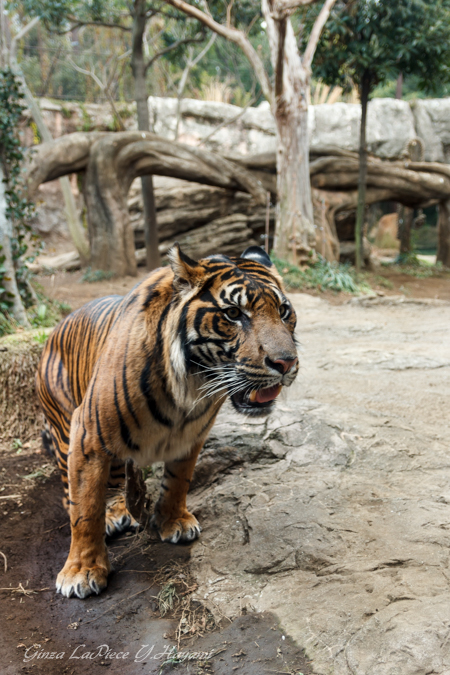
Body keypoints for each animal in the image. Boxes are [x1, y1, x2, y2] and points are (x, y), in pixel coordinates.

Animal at [36, 246, 298, 600]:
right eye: (232, 313)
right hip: (65, 429)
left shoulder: (192, 435)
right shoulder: (88, 435)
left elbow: (178, 481)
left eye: (283, 311)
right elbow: (85, 507)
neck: (191, 387)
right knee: (71, 490)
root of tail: (56, 328)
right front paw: (81, 571)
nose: (286, 362)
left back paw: (121, 511)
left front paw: (173, 521)